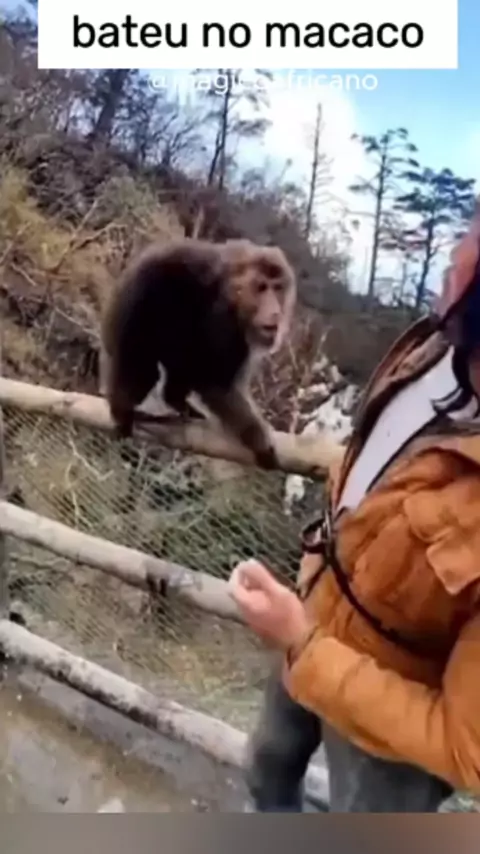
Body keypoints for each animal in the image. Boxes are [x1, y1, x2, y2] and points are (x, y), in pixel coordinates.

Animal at [100, 238, 296, 469]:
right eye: (262, 288)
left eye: (277, 288)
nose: (275, 311)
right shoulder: (223, 321)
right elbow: (216, 384)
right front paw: (260, 440)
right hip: (133, 313)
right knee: (142, 366)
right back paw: (122, 407)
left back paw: (174, 398)